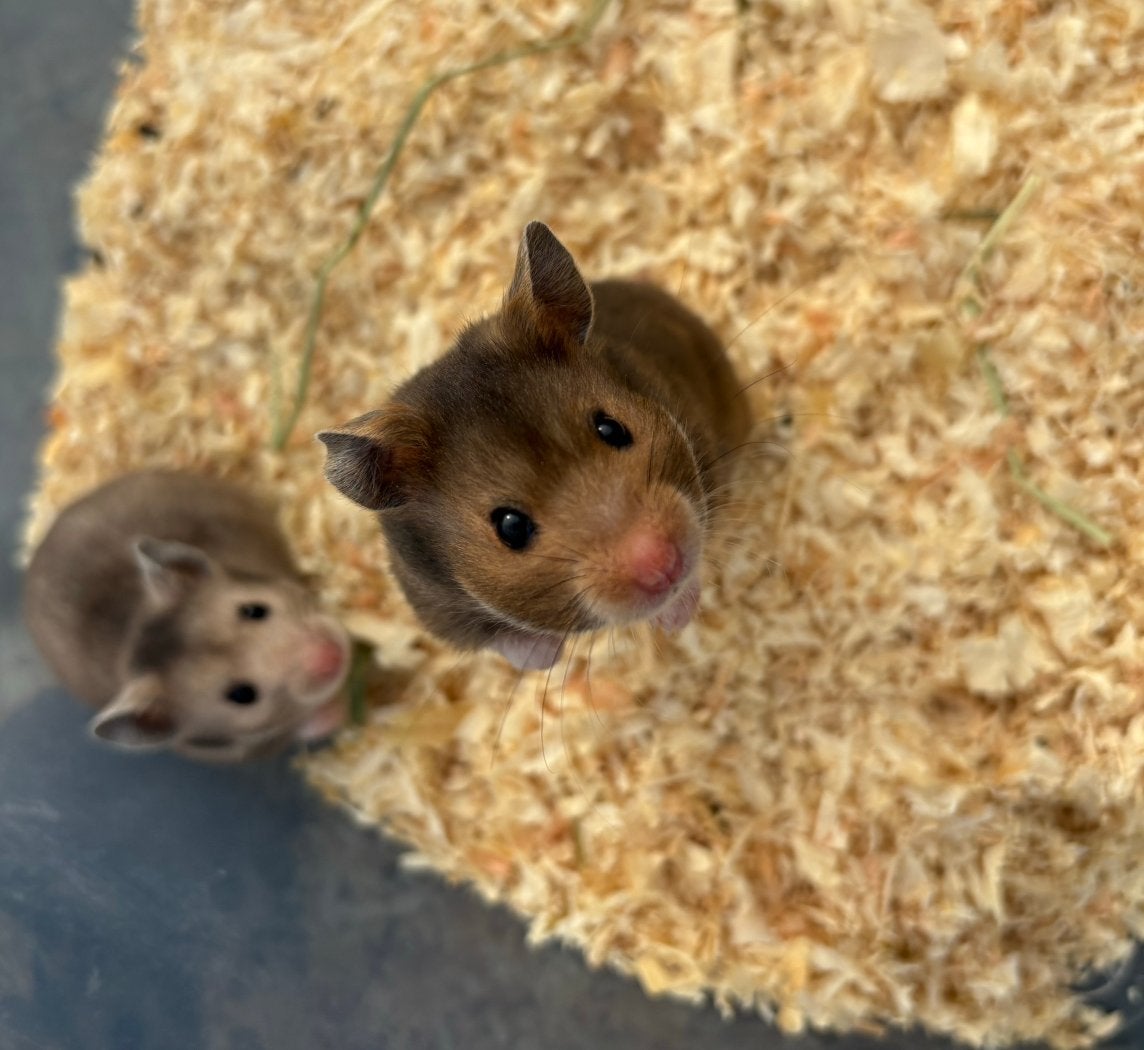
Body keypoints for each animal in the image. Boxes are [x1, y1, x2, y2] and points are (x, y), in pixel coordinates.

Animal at [318, 221, 750, 671]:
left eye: (612, 429)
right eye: (511, 526)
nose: (662, 564)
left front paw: (675, 615)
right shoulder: (429, 598)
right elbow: (509, 642)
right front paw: (549, 654)